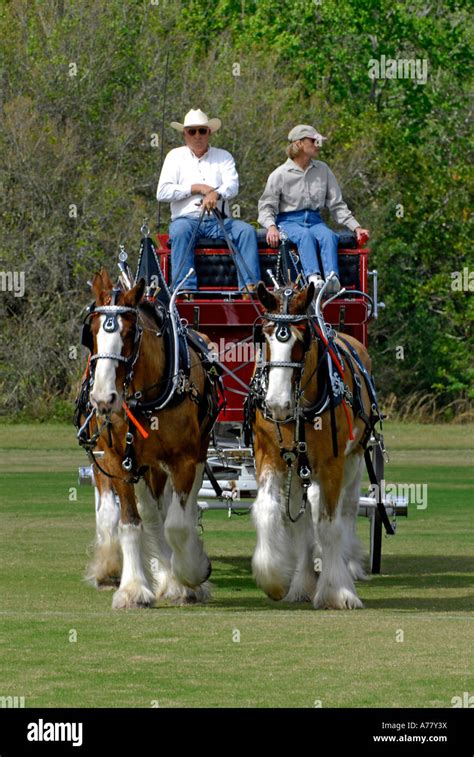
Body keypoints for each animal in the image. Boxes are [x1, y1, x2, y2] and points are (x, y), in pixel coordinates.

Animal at [80, 270, 220, 608]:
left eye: (130, 333)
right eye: (91, 332)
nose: (103, 398)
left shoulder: (185, 460)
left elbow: (178, 525)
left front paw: (191, 576)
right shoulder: (118, 461)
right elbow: (131, 523)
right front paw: (133, 589)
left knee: (175, 514)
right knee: (150, 515)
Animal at [248, 282, 378, 608]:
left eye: (302, 339)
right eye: (265, 335)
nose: (277, 404)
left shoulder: (333, 463)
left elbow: (330, 525)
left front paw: (338, 590)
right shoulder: (271, 456)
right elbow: (271, 511)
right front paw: (274, 579)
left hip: (354, 459)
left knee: (346, 510)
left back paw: (348, 564)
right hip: (300, 468)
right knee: (304, 520)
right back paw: (304, 581)